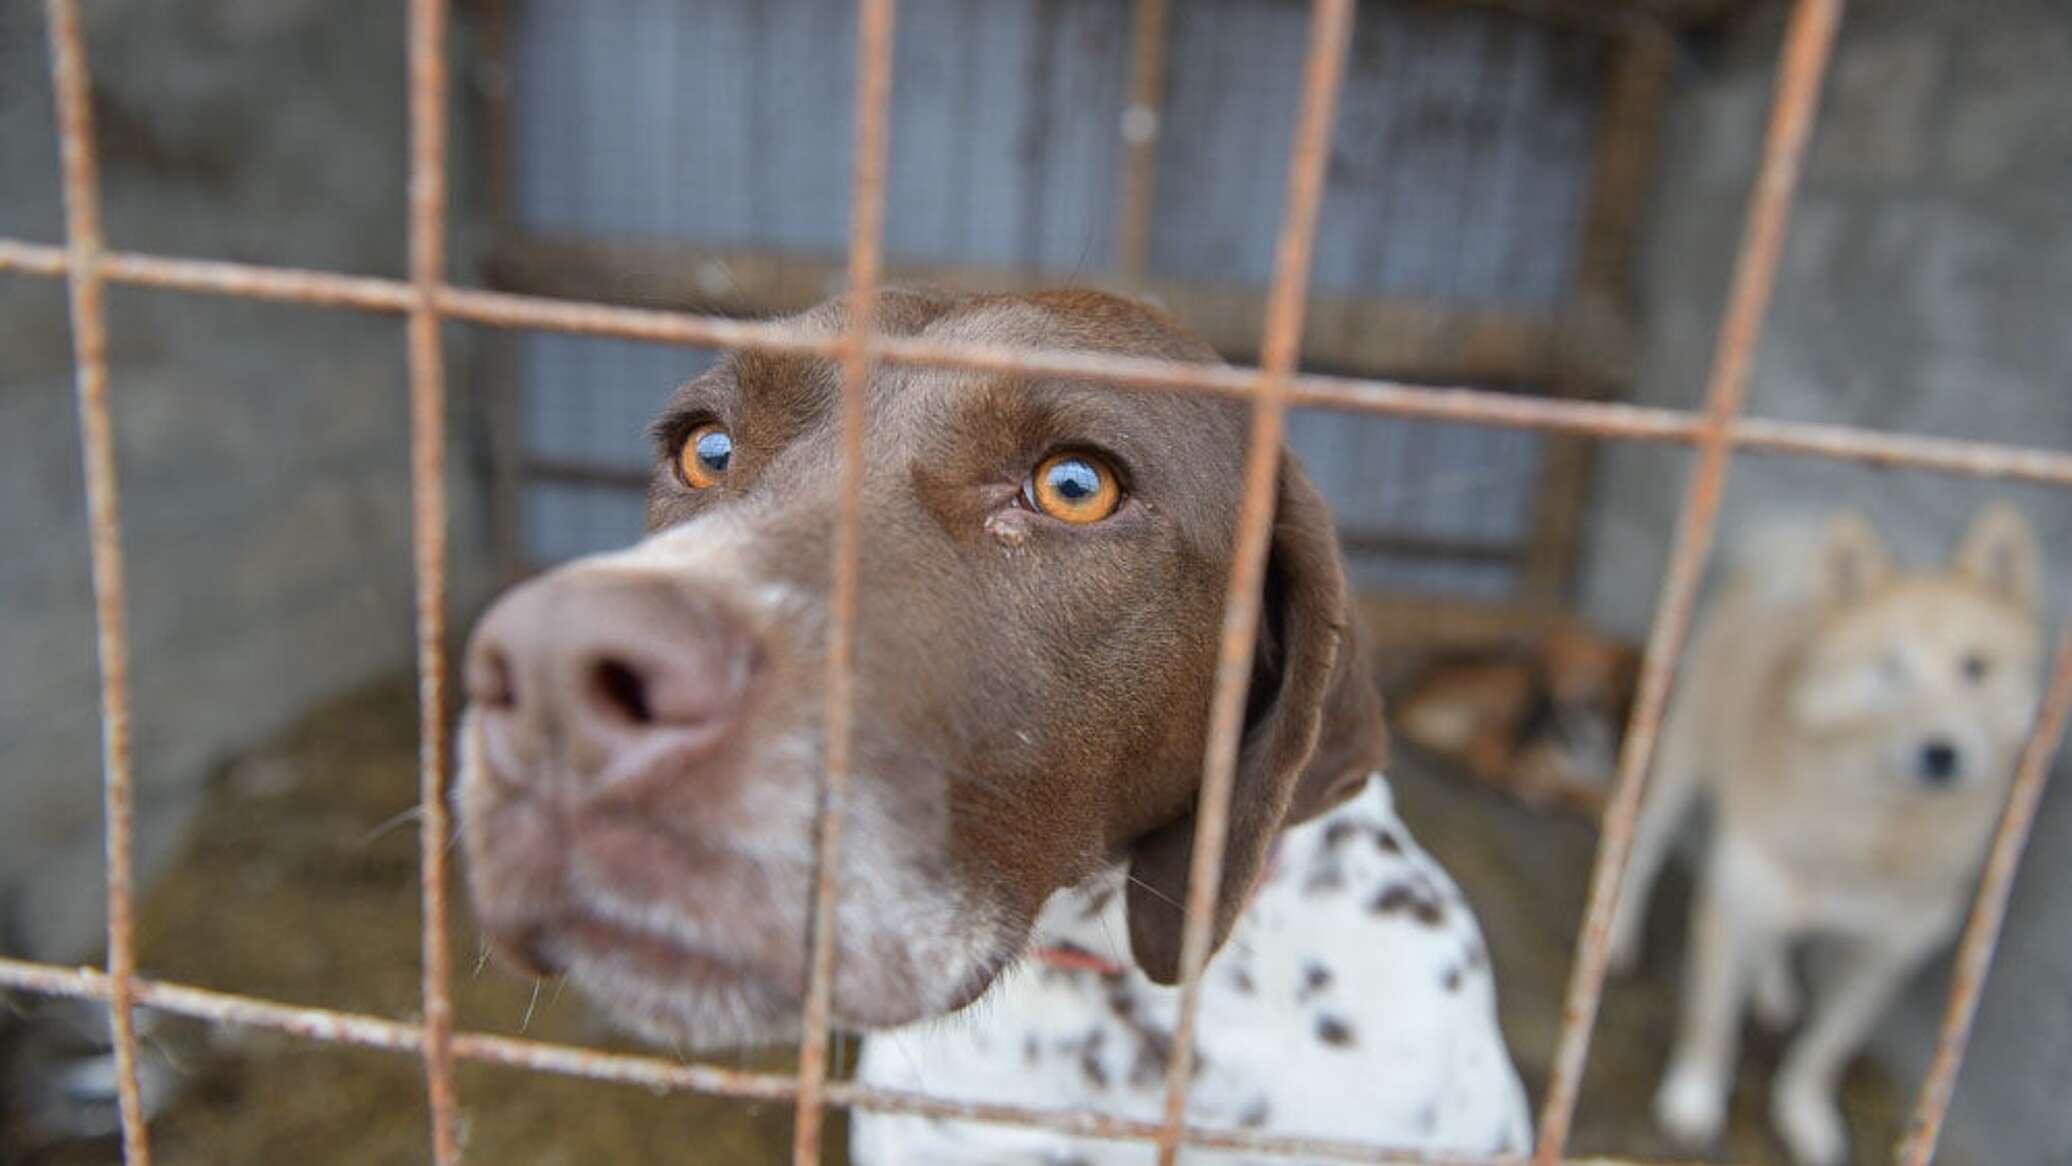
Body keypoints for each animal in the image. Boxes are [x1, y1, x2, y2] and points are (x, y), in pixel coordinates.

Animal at [1607, 501, 2047, 1166]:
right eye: (1889, 668)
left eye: (1976, 666)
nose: (1941, 753)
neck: (1874, 835)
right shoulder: (1732, 907)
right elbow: (1711, 1024)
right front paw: (1695, 1098)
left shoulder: (1886, 958)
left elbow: (1826, 1049)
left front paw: (1804, 1112)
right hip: (1678, 763)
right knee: (1645, 851)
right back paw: (1617, 937)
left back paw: (1773, 988)